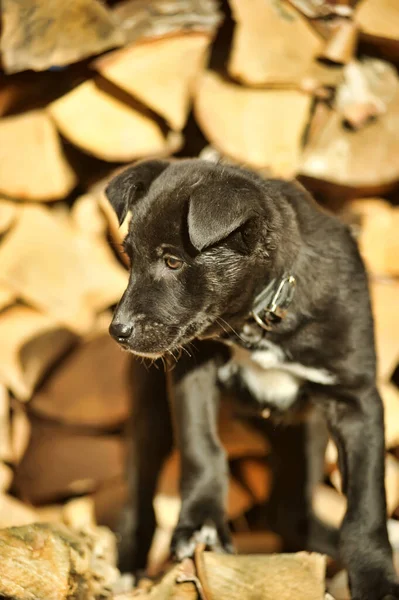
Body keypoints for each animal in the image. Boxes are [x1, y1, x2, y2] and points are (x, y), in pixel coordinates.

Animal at [106, 157, 399, 596]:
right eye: (130, 256)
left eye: (173, 261)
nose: (117, 331)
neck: (260, 319)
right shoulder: (192, 370)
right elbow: (202, 447)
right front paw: (201, 525)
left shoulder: (357, 399)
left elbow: (366, 502)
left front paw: (376, 578)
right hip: (150, 408)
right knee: (140, 490)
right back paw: (130, 566)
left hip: (306, 431)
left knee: (290, 511)